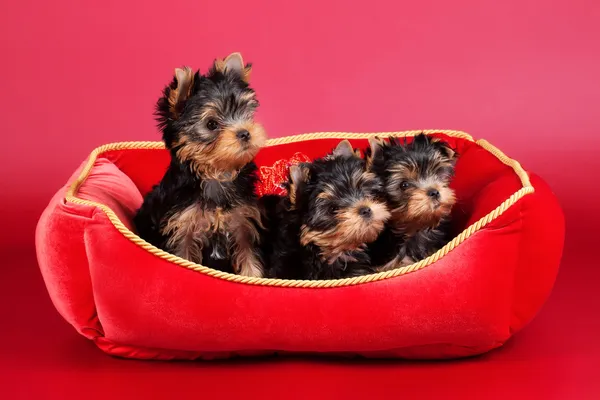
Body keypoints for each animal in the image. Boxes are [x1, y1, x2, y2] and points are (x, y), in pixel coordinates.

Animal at [137, 52, 268, 278]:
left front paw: (254, 279)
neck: (216, 173)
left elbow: (249, 258)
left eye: (245, 113)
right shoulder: (182, 229)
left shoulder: (243, 223)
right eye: (211, 124)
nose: (245, 133)